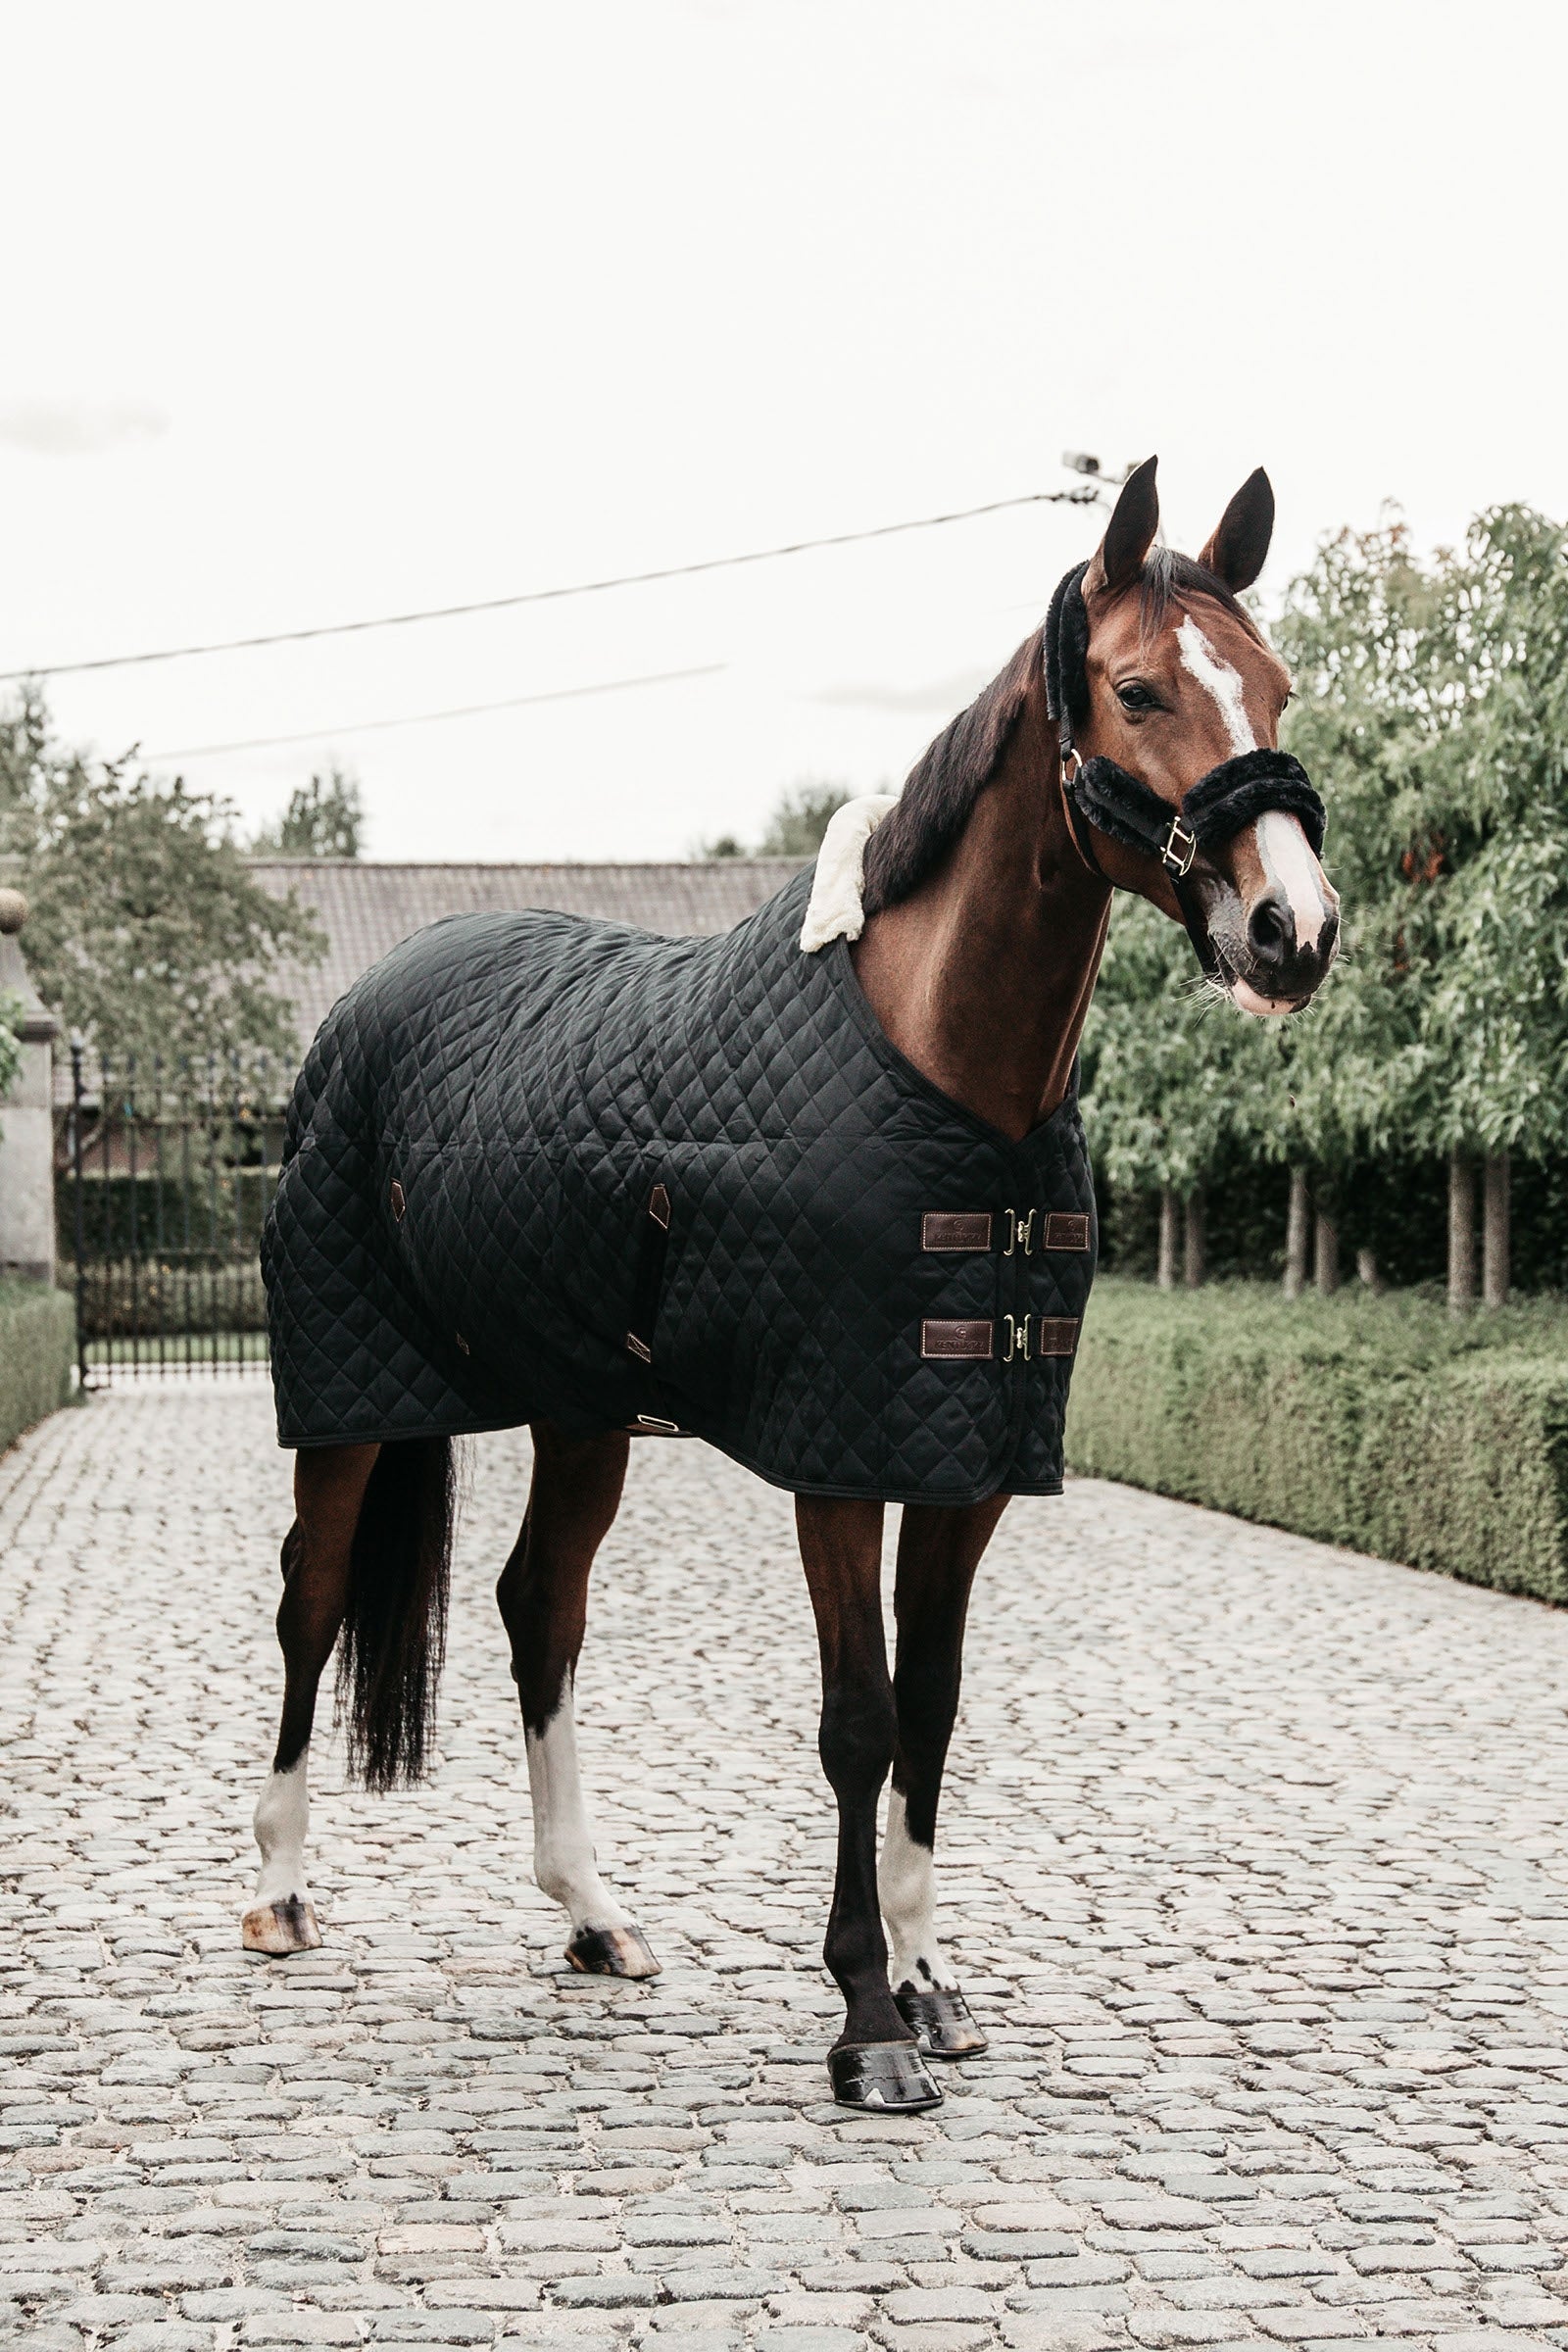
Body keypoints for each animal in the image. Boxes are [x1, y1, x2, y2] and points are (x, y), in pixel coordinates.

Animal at [245, 457, 1339, 2114]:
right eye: (1141, 687)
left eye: (1272, 685)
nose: (1295, 930)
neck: (949, 1070)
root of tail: (370, 1005)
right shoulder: (841, 1455)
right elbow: (860, 1717)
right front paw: (868, 2023)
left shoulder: (966, 1461)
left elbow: (934, 1710)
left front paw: (932, 1983)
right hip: (352, 1399)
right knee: (312, 1600)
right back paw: (282, 1893)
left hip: (580, 1415)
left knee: (536, 1607)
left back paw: (593, 1914)